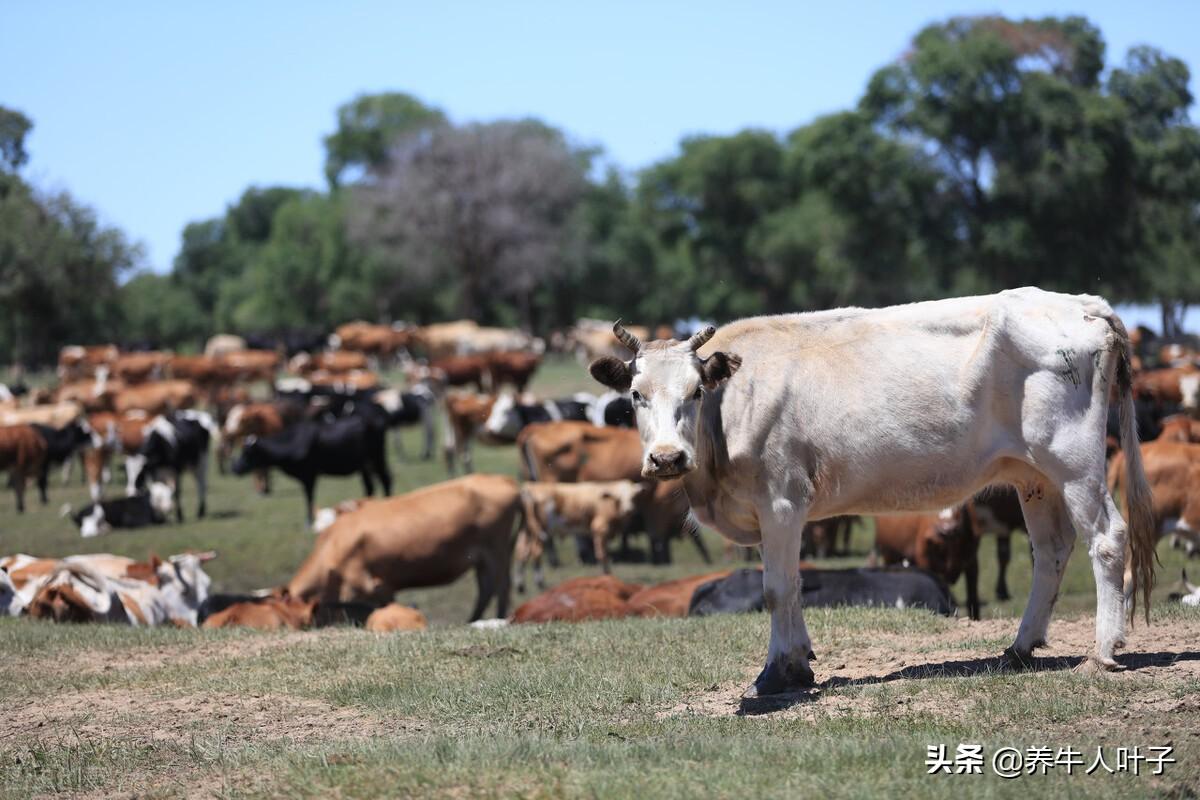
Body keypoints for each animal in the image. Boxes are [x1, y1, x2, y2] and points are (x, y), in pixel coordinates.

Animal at [236, 407, 396, 525]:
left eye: (247, 453)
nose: (234, 467)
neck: (292, 442)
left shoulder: (309, 474)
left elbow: (309, 496)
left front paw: (308, 521)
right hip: (364, 464)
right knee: (370, 486)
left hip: (377, 456)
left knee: (386, 478)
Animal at [289, 472, 520, 623]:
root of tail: (503, 479)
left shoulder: (374, 587)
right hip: (485, 558)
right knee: (487, 589)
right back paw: (473, 620)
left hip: (496, 551)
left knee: (500, 586)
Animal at [513, 479, 652, 592]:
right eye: (618, 498)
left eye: (633, 497)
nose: (629, 510)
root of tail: (530, 487)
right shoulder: (600, 529)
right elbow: (603, 555)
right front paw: (607, 576)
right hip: (541, 529)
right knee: (535, 552)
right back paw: (540, 583)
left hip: (526, 528)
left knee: (521, 551)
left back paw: (520, 585)